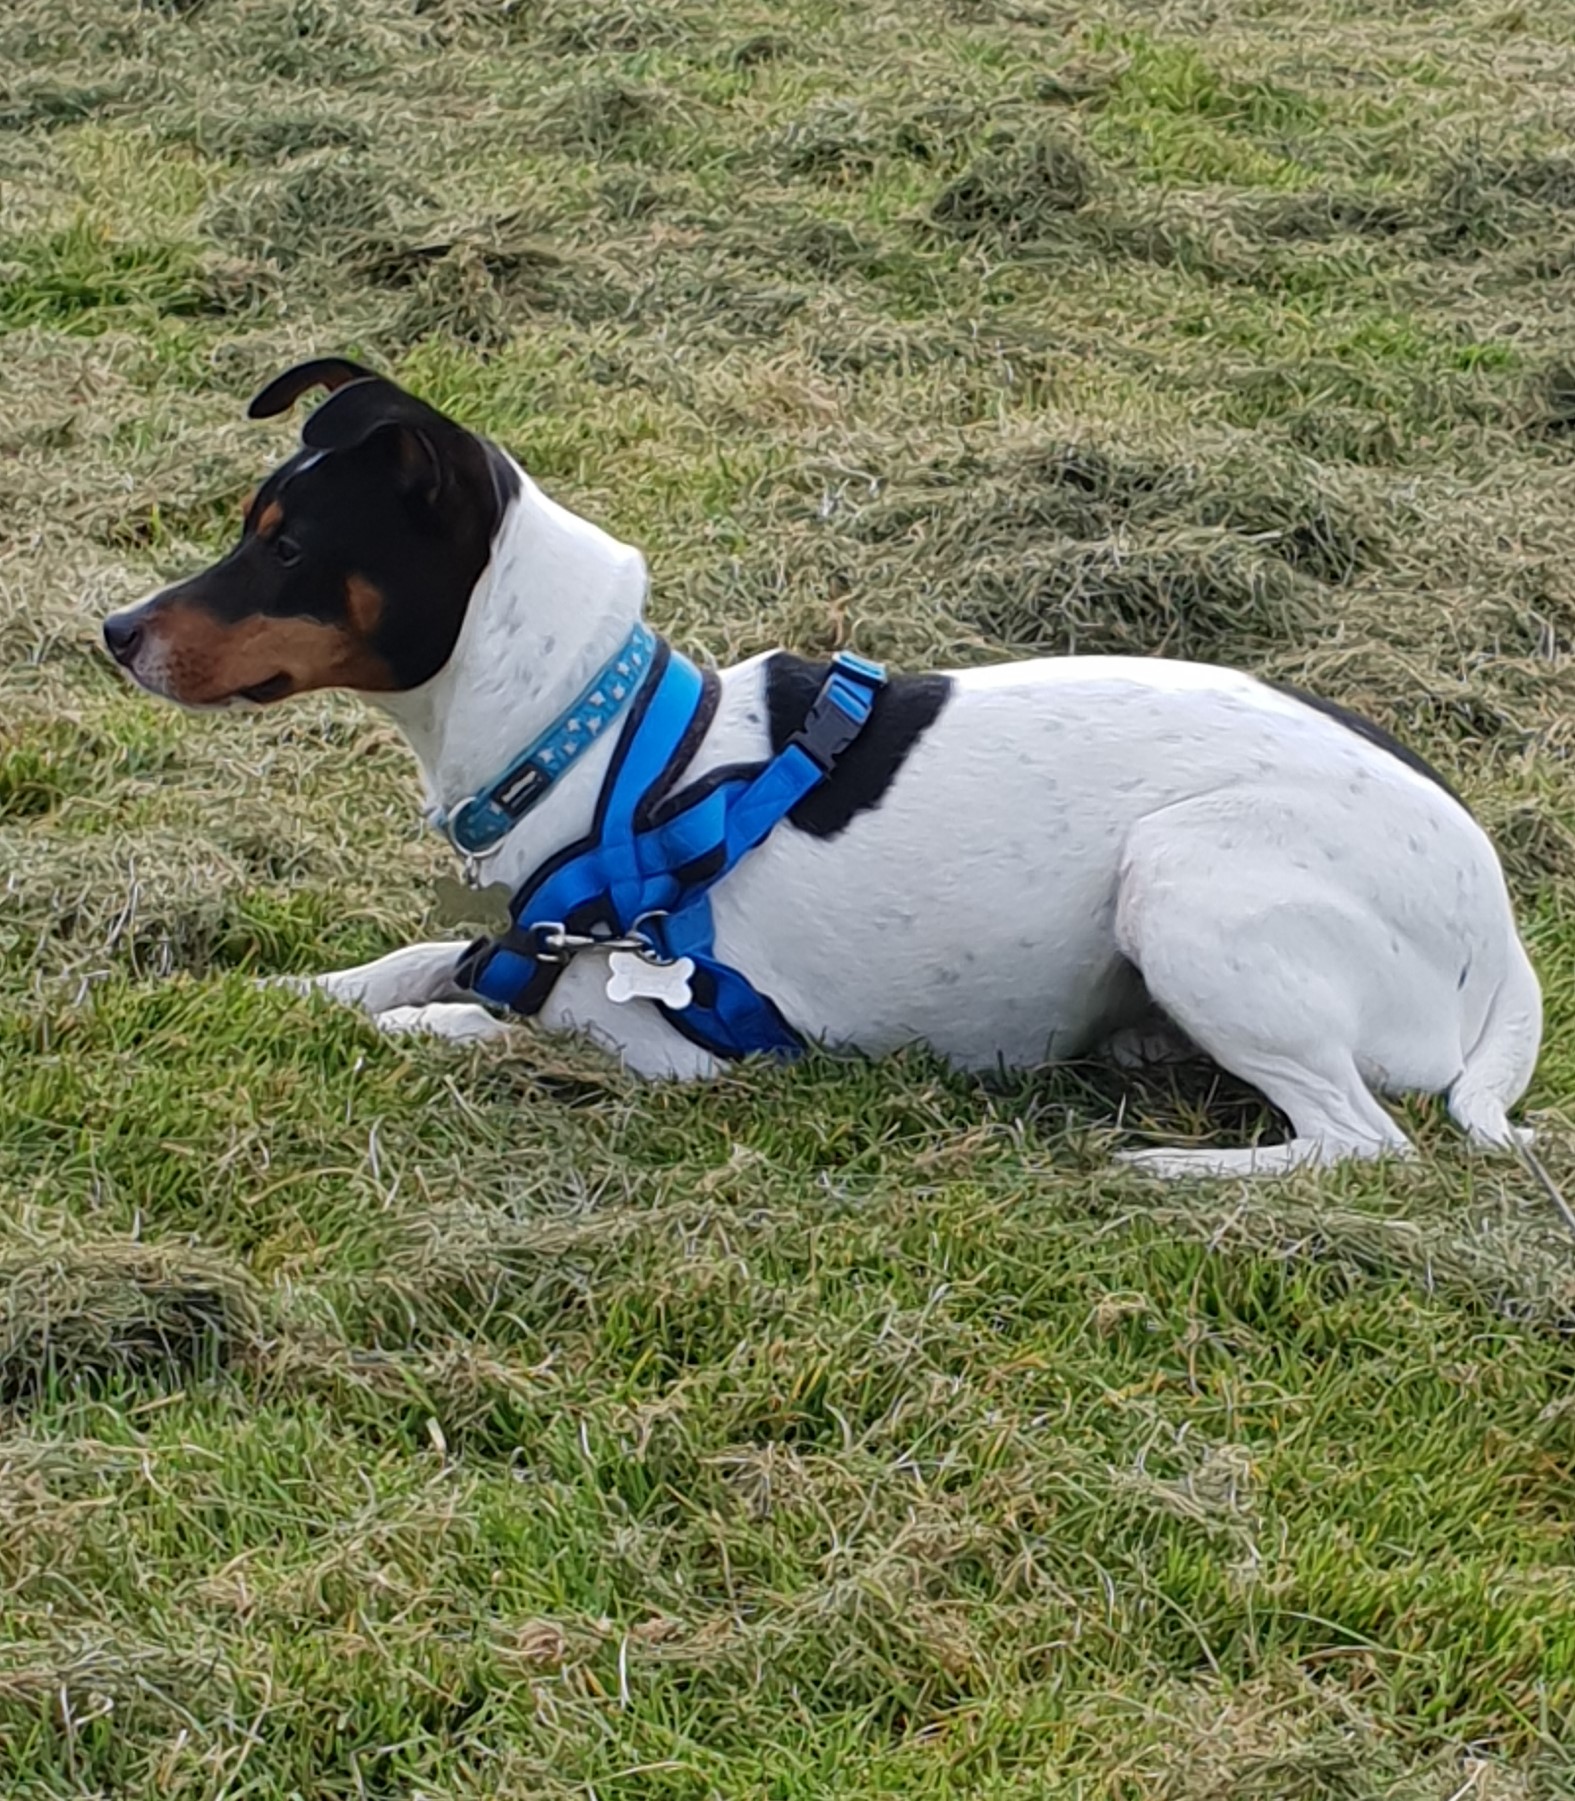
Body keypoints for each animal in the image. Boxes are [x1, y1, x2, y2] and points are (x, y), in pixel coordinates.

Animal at [104, 362, 1548, 1181]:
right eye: (252, 528)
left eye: (288, 549)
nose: (113, 630)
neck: (604, 743)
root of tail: (1501, 937)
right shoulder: (515, 936)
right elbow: (407, 964)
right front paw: (292, 991)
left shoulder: (669, 1043)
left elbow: (481, 1020)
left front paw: (418, 1028)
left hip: (1186, 874)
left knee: (1359, 1144)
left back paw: (1167, 1171)